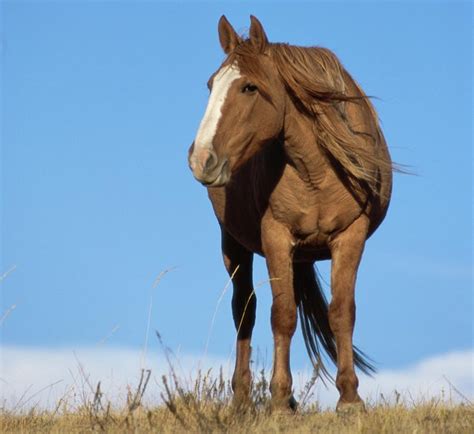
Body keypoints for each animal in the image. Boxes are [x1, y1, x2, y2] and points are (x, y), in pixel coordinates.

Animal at [188, 15, 392, 412]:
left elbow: (341, 312)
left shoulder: (351, 236)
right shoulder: (276, 237)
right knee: (245, 311)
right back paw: (242, 399)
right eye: (210, 85)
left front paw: (349, 399)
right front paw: (279, 399)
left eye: (249, 87)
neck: (315, 170)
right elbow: (281, 316)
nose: (200, 158)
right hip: (234, 245)